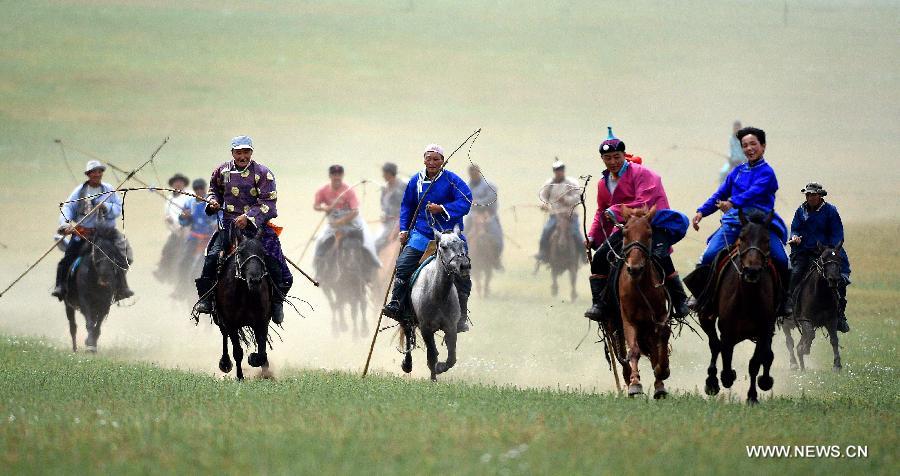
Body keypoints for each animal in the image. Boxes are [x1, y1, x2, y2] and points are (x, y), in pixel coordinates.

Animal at [213, 222, 272, 380]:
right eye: (240, 252)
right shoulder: (231, 324)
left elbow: (262, 352)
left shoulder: (262, 321)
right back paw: (225, 363)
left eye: (263, 252)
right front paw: (240, 377)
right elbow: (237, 352)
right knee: (224, 336)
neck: (246, 294)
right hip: (219, 319)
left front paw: (262, 369)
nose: (255, 280)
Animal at [400, 225, 472, 382]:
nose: (464, 266)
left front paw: (440, 368)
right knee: (408, 335)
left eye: (461, 243)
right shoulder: (426, 328)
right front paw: (433, 377)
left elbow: (452, 358)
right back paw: (407, 364)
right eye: (443, 246)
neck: (438, 295)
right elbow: (432, 356)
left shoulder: (451, 327)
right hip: (406, 319)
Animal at [616, 207, 672, 398]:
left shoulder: (660, 316)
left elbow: (663, 337)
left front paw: (663, 371)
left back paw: (659, 384)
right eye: (624, 233)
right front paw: (635, 384)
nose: (634, 268)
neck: (639, 286)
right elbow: (633, 350)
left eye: (649, 233)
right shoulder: (628, 320)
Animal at [700, 210, 776, 404]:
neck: (748, 298)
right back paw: (712, 382)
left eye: (767, 239)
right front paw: (724, 378)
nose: (752, 271)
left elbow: (755, 363)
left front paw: (753, 396)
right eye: (742, 237)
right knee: (714, 345)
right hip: (707, 318)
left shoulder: (764, 330)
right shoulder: (727, 330)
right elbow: (725, 359)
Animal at [784, 242, 848, 372]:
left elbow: (834, 339)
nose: (834, 279)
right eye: (823, 258)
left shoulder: (832, 319)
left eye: (839, 258)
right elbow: (810, 335)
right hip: (784, 323)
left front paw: (837, 365)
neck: (820, 295)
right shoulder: (805, 320)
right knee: (789, 341)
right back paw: (794, 363)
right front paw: (803, 349)